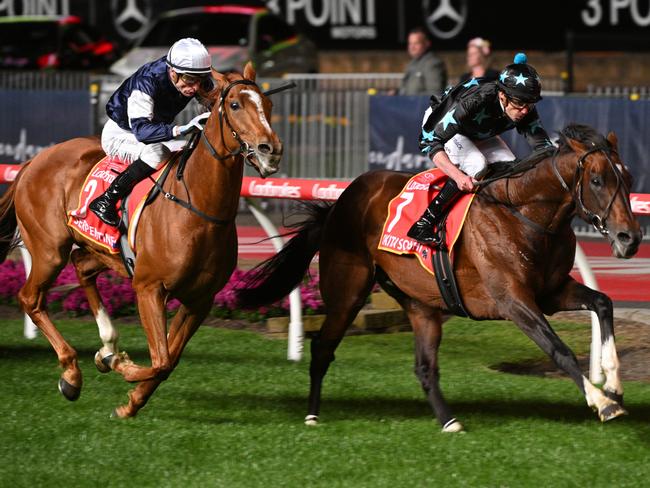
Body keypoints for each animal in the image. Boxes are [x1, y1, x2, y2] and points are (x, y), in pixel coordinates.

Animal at [0, 63, 280, 418]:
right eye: (234, 105)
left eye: (268, 105)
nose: (270, 151)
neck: (200, 207)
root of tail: (33, 162)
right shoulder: (149, 287)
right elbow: (160, 360)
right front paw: (121, 367)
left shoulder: (200, 299)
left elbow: (169, 360)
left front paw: (129, 400)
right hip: (50, 250)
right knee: (31, 298)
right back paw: (72, 373)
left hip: (104, 252)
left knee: (82, 266)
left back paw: (107, 344)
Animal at [239, 124, 644, 432]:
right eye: (596, 179)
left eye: (627, 178)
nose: (630, 238)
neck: (525, 214)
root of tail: (339, 202)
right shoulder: (514, 301)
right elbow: (559, 350)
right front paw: (602, 402)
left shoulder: (551, 292)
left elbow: (603, 302)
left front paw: (613, 383)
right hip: (348, 292)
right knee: (323, 348)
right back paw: (311, 415)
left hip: (420, 303)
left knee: (424, 367)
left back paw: (449, 421)